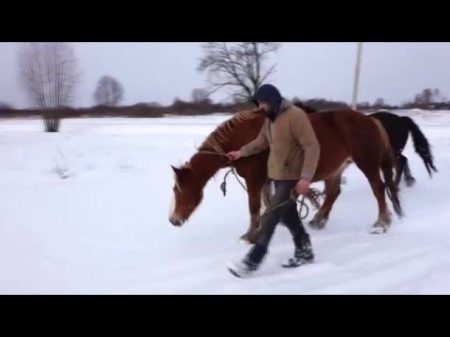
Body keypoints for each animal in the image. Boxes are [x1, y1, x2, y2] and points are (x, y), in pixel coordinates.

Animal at [169, 106, 404, 240]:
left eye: (179, 190)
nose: (173, 220)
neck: (242, 139)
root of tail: (371, 120)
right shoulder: (266, 180)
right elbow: (268, 202)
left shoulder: (255, 180)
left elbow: (254, 206)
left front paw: (250, 234)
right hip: (336, 169)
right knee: (333, 193)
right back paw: (318, 220)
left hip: (368, 164)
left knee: (379, 189)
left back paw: (381, 223)